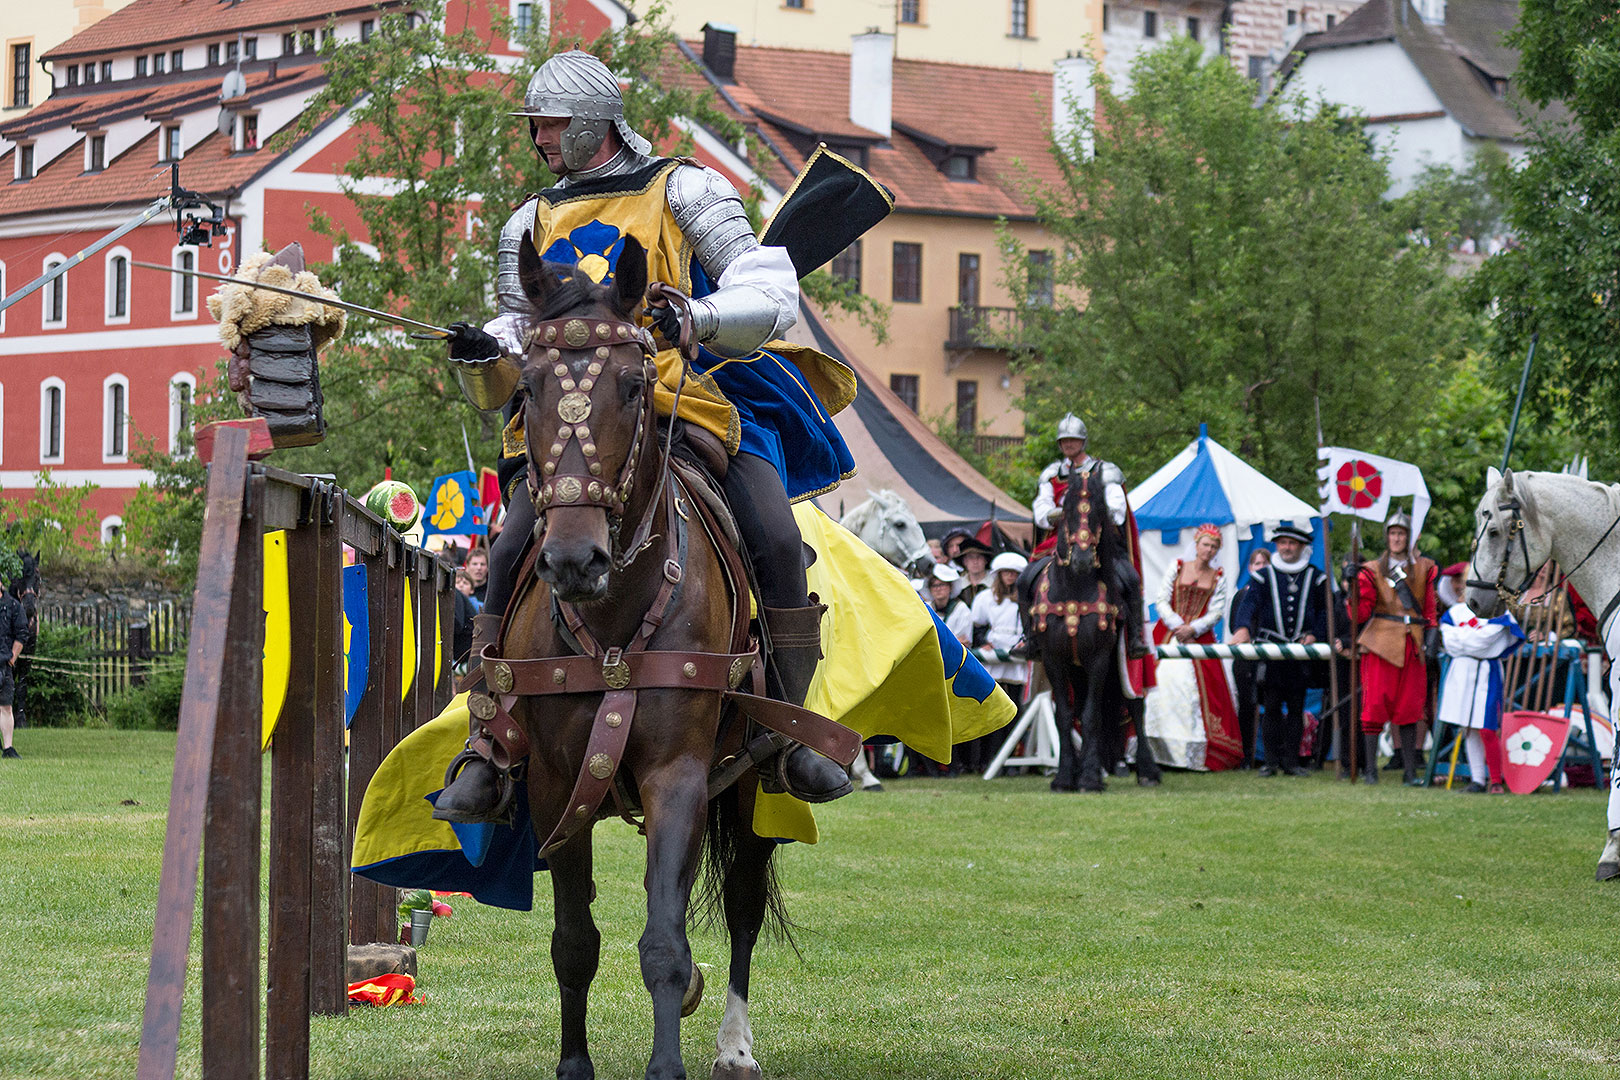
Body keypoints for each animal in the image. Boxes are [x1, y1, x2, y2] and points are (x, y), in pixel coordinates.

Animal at [492, 238, 784, 1080]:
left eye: (631, 385)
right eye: (528, 387)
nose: (573, 559)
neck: (616, 615)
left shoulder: (677, 775)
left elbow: (665, 944)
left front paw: (669, 1064)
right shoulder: (556, 783)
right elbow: (573, 942)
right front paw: (574, 1067)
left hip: (750, 782)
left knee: (743, 903)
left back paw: (733, 1044)